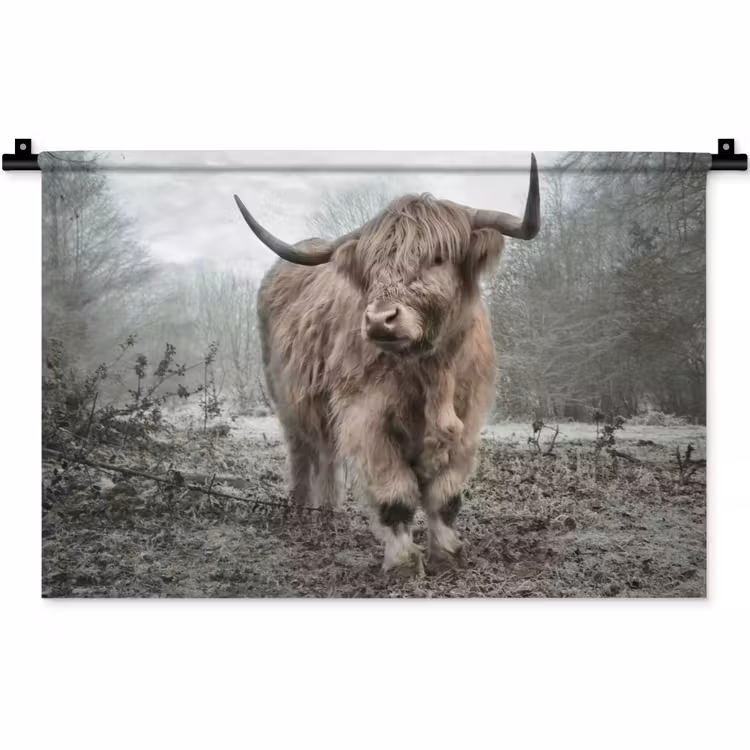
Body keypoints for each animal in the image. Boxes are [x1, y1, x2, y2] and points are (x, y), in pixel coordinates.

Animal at [233, 154, 540, 576]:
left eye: (438, 258)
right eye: (372, 266)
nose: (380, 320)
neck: (432, 371)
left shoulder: (468, 419)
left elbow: (446, 497)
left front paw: (448, 553)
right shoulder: (366, 418)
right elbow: (396, 495)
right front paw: (403, 562)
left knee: (327, 455)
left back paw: (329, 514)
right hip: (288, 399)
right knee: (303, 452)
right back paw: (302, 512)